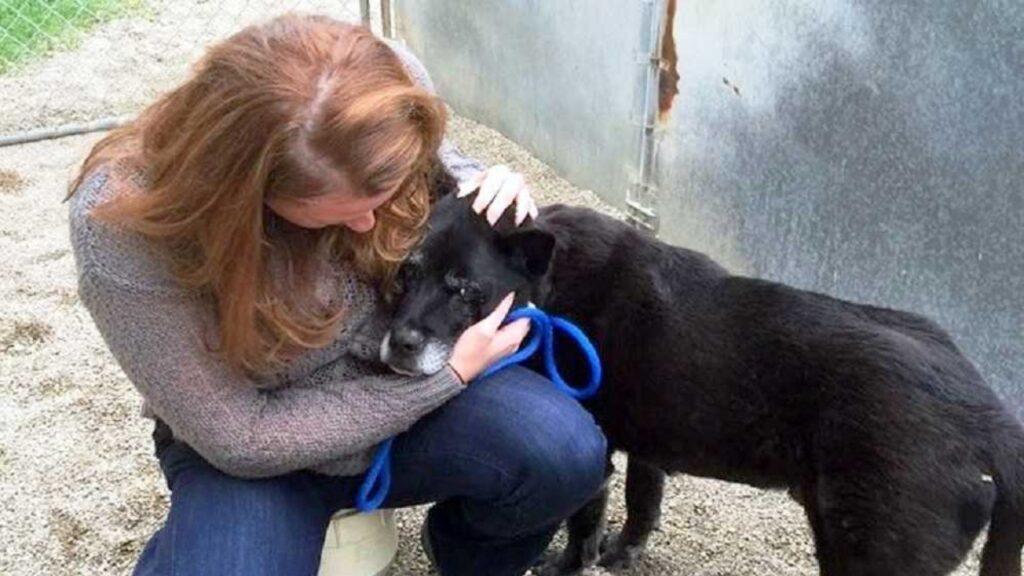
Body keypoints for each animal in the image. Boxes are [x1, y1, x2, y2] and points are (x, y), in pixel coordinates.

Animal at [380, 193, 1019, 573]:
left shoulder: (598, 449)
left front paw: (572, 565)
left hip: (871, 549)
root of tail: (989, 417)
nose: (398, 346)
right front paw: (623, 554)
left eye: (466, 291)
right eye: (406, 272)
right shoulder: (648, 446)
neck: (551, 287)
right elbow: (643, 504)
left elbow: (585, 520)